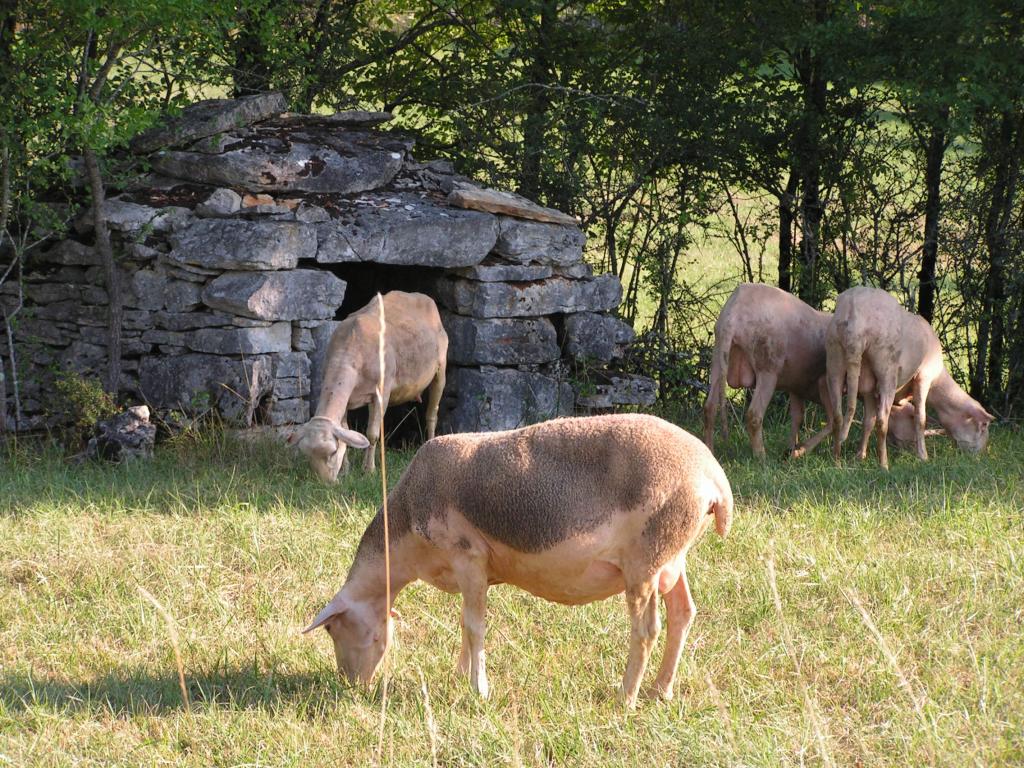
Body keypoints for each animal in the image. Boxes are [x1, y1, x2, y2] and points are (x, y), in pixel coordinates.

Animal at [288, 290, 448, 483]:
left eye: (332, 452)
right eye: (308, 456)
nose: (326, 483)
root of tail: (418, 295)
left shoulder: (381, 393)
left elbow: (372, 433)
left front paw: (369, 470)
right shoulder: (346, 399)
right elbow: (346, 431)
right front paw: (346, 470)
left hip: (440, 370)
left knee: (432, 415)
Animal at [299, 415, 733, 708]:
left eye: (335, 630)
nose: (352, 685)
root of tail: (714, 479)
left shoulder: (468, 556)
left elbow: (474, 626)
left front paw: (478, 689)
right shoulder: (471, 571)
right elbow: (465, 625)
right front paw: (461, 675)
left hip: (646, 559)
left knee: (645, 630)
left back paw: (625, 698)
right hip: (672, 558)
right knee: (683, 614)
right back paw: (661, 691)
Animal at [823, 286, 991, 468]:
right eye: (983, 427)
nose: (980, 456)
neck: (938, 382)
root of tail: (854, 322)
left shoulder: (869, 388)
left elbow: (868, 421)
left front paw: (860, 456)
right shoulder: (924, 377)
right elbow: (920, 419)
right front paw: (923, 456)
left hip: (834, 358)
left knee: (838, 416)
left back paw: (836, 460)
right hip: (887, 369)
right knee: (883, 420)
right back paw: (884, 465)